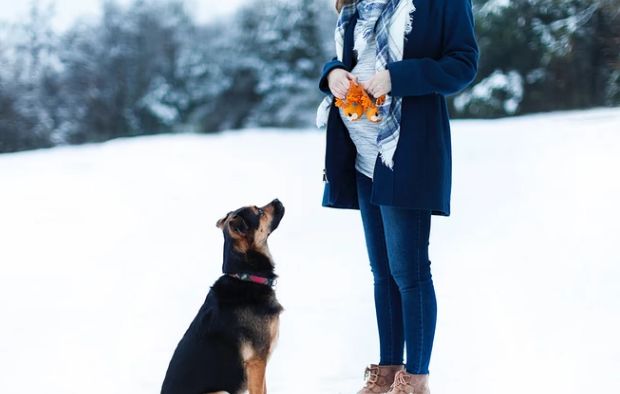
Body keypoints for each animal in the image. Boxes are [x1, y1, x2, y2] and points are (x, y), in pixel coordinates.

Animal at [161, 200, 284, 394]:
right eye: (259, 211)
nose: (278, 200)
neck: (245, 276)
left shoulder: (260, 365)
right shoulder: (257, 362)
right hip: (220, 391)